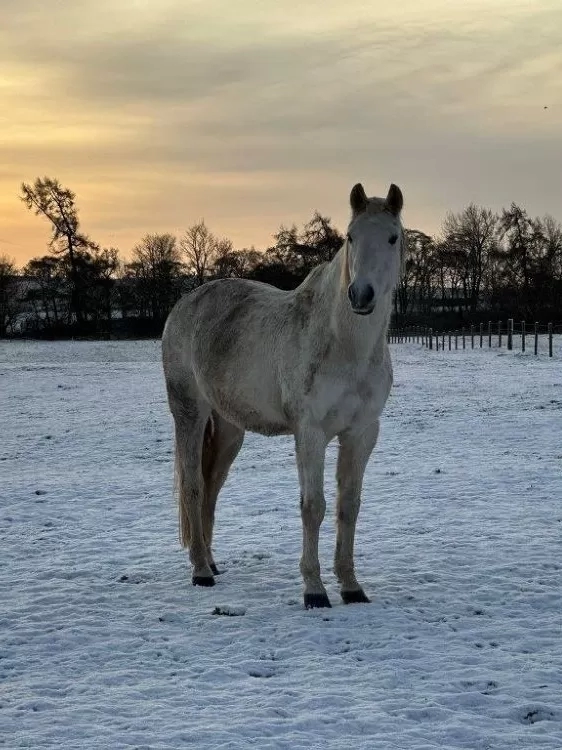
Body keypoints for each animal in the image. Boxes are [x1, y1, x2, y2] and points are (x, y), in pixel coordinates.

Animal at [162, 182, 402, 612]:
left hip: (228, 429)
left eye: (393, 237)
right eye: (351, 237)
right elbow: (314, 507)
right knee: (193, 486)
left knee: (211, 487)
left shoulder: (361, 433)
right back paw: (201, 571)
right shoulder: (309, 434)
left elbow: (348, 506)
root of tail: (185, 305)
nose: (361, 296)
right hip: (189, 412)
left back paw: (211, 561)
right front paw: (314, 590)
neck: (345, 345)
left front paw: (351, 586)